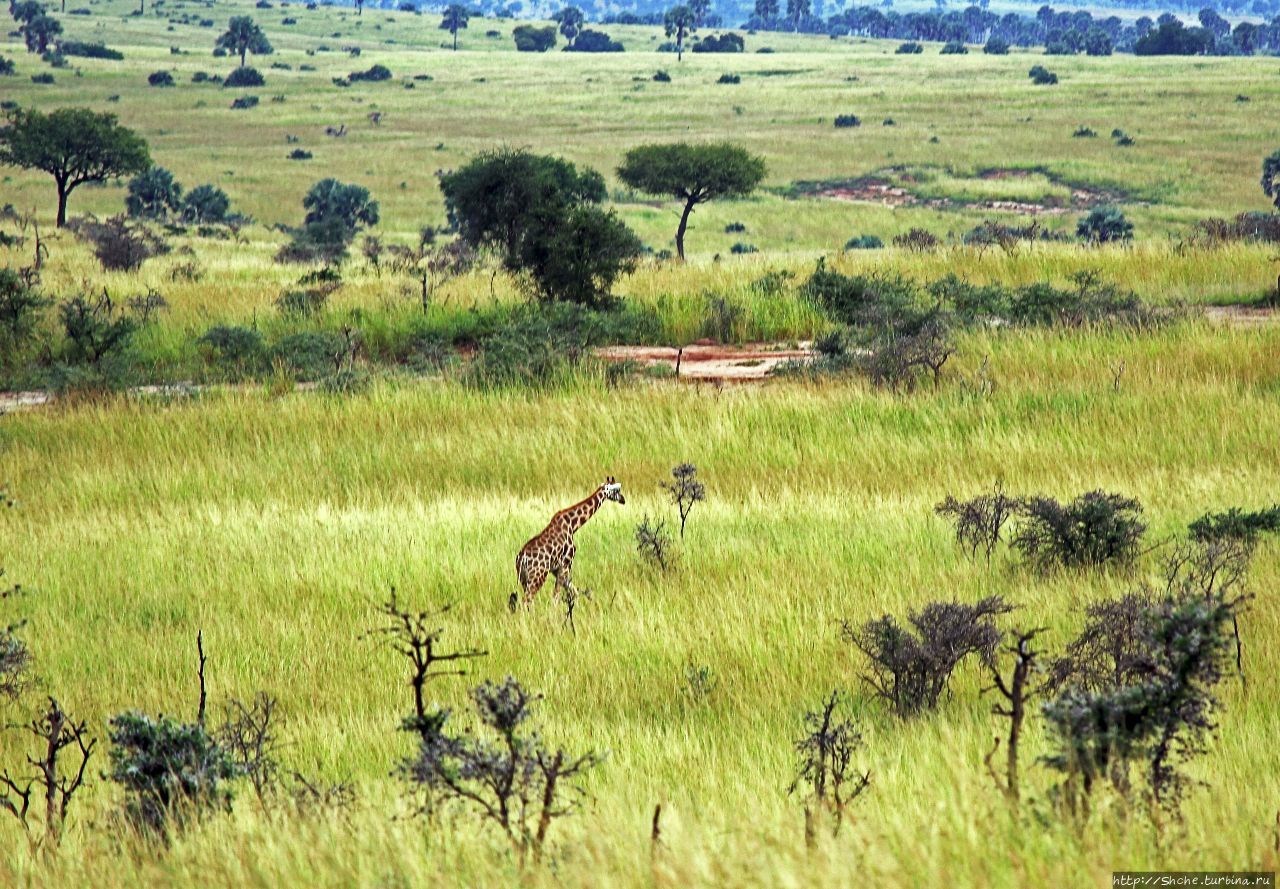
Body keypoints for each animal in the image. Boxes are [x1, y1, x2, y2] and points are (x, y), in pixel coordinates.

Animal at [512, 475, 627, 608]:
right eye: (617, 490)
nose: (623, 500)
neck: (573, 525)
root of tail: (522, 558)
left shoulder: (556, 569)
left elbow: (574, 592)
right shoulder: (566, 564)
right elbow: (556, 598)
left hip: (524, 579)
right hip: (538, 576)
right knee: (526, 601)